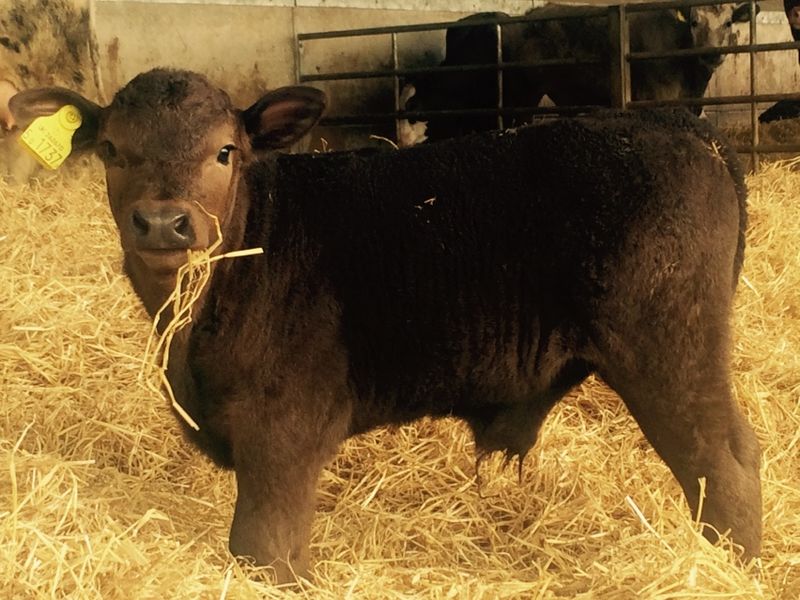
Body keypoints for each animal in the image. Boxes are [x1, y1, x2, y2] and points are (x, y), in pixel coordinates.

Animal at [10, 69, 764, 580]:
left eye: (225, 152)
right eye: (111, 150)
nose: (164, 222)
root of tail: (682, 127)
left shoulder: (280, 434)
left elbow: (263, 548)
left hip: (669, 352)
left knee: (722, 471)